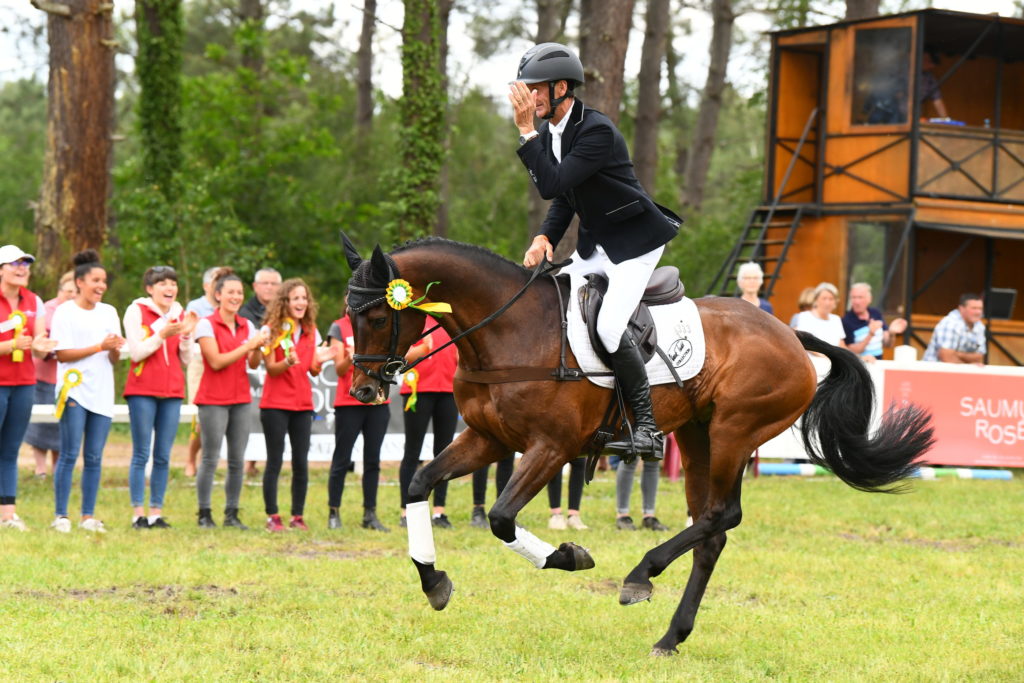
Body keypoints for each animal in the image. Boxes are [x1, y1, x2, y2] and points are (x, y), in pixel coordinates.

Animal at [339, 236, 933, 655]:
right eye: (348, 317)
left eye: (378, 315)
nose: (364, 390)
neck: (510, 329)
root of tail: (790, 333)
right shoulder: (489, 439)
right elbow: (419, 482)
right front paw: (433, 581)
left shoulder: (551, 447)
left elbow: (503, 518)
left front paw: (569, 557)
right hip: (697, 434)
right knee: (712, 530)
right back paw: (671, 636)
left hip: (734, 432)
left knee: (722, 515)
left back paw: (640, 576)